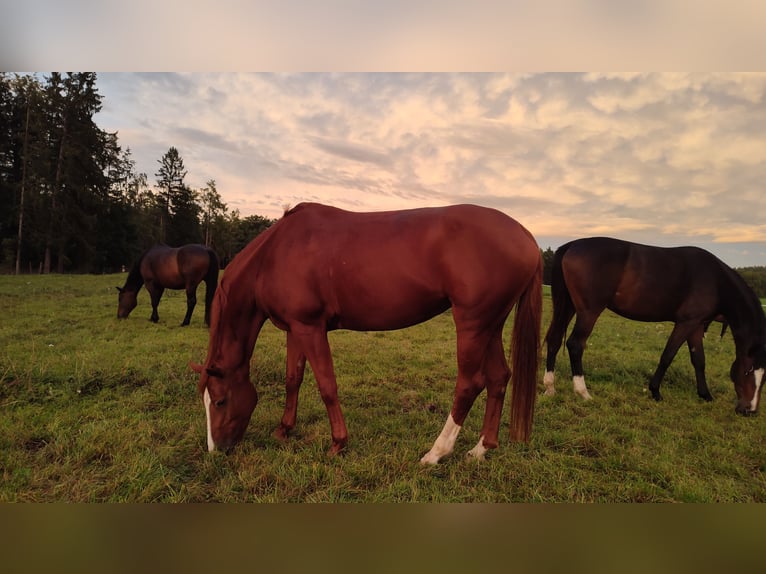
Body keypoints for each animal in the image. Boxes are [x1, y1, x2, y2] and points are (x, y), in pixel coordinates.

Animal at [190, 202, 542, 464]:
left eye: (219, 401)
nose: (217, 450)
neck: (274, 254)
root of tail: (527, 237)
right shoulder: (295, 329)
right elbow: (293, 379)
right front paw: (284, 430)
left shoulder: (311, 327)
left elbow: (327, 385)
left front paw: (338, 443)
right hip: (491, 325)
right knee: (498, 377)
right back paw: (481, 449)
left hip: (472, 324)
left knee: (470, 384)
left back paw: (436, 453)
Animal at [543, 237, 766, 415]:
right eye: (748, 371)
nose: (749, 410)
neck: (716, 281)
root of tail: (572, 245)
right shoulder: (685, 323)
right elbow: (667, 356)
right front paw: (655, 391)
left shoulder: (695, 326)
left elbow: (699, 360)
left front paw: (705, 395)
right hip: (589, 312)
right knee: (575, 344)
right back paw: (583, 392)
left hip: (568, 306)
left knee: (554, 340)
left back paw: (550, 387)